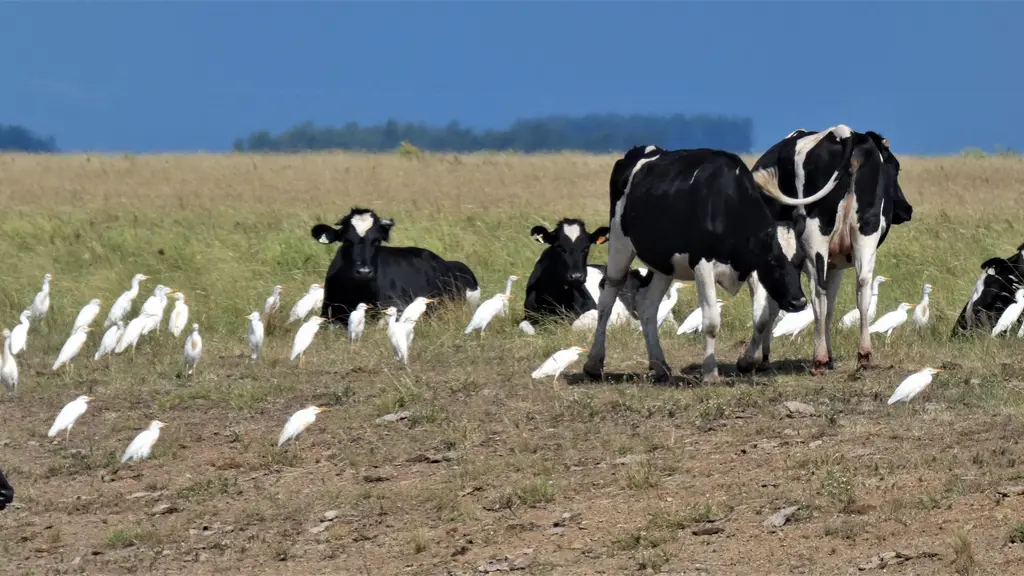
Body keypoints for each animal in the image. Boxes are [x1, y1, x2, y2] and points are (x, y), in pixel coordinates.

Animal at [310, 207, 481, 327]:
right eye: (346, 240)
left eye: (377, 241)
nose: (364, 271)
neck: (357, 293)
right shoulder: (328, 314)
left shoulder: (397, 308)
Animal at [518, 218, 647, 334]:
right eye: (559, 246)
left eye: (586, 247)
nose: (576, 276)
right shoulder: (529, 315)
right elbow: (525, 328)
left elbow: (576, 325)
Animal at [583, 144, 841, 384]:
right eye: (772, 260)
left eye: (799, 261)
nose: (798, 302)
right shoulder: (703, 265)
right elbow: (711, 321)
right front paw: (710, 373)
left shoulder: (752, 267)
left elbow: (761, 318)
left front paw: (748, 361)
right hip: (619, 245)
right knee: (607, 298)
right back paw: (594, 364)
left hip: (664, 265)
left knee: (647, 305)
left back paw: (659, 365)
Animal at [745, 126, 914, 375]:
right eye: (896, 167)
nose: (906, 209)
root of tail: (847, 133)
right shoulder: (836, 264)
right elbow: (828, 308)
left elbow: (766, 308)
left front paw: (755, 358)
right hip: (866, 232)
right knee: (861, 287)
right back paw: (863, 355)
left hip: (816, 239)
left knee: (818, 292)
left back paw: (819, 359)